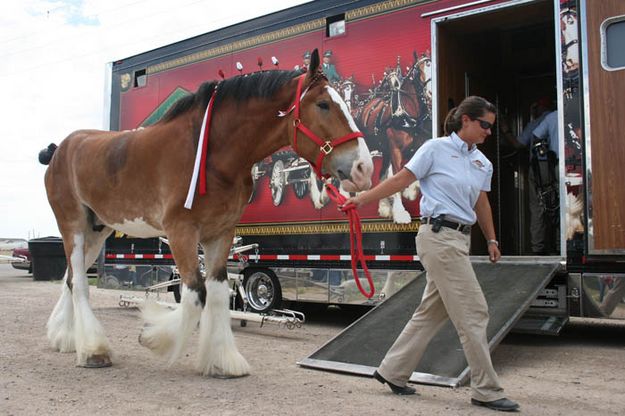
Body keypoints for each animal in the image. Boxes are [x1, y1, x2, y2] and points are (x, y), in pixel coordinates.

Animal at [37, 48, 370, 376]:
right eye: (323, 104)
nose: (363, 167)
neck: (214, 154)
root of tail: (59, 149)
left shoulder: (220, 234)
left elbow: (219, 293)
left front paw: (223, 360)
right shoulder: (181, 231)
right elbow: (196, 294)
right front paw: (154, 337)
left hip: (96, 230)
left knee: (71, 277)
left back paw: (65, 337)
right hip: (72, 224)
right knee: (80, 282)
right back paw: (94, 350)